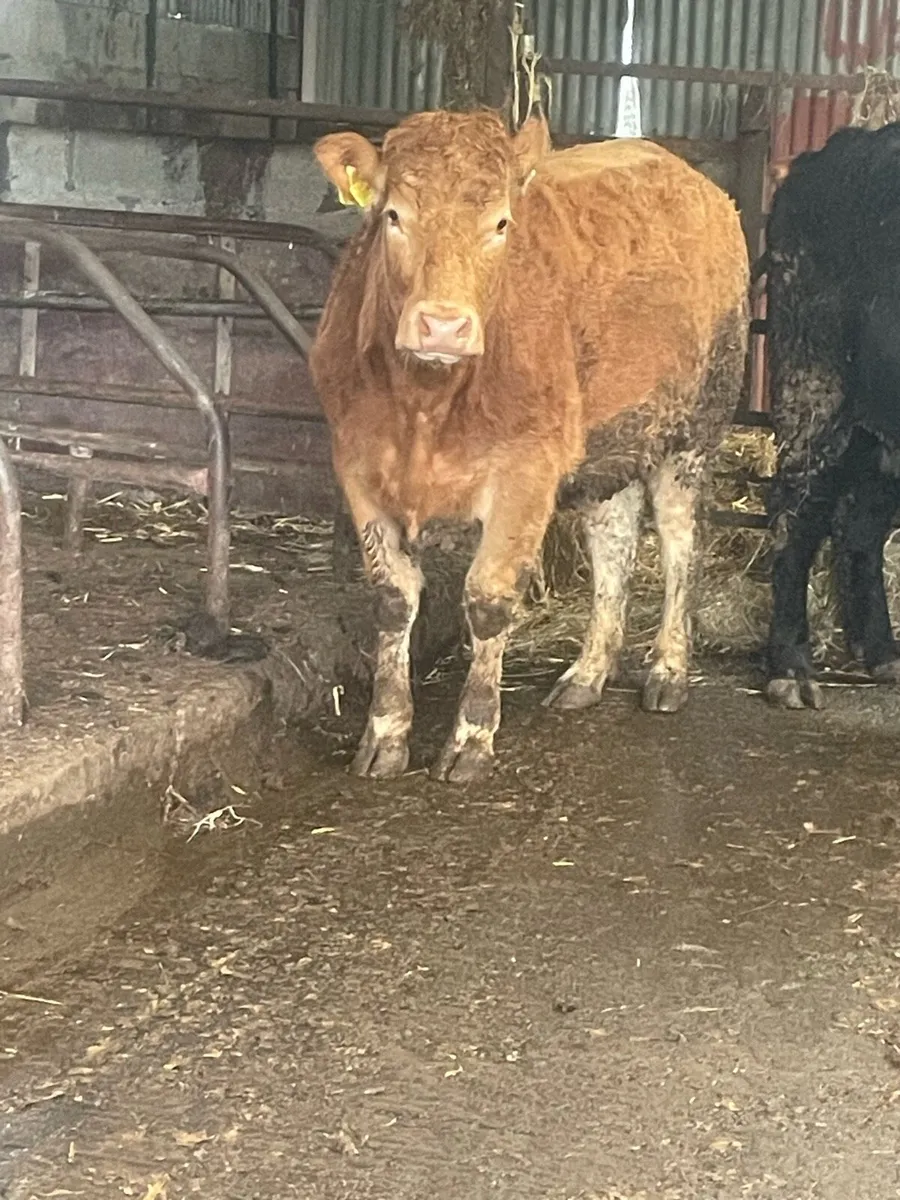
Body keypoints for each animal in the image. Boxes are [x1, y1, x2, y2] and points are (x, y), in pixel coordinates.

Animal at [310, 109, 749, 782]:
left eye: (500, 223)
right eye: (394, 216)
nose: (443, 325)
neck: (426, 406)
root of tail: (697, 183)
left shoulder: (526, 471)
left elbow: (489, 600)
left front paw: (470, 737)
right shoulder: (359, 465)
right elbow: (391, 601)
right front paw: (384, 734)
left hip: (695, 426)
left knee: (681, 541)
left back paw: (668, 670)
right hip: (609, 438)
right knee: (614, 544)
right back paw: (588, 672)